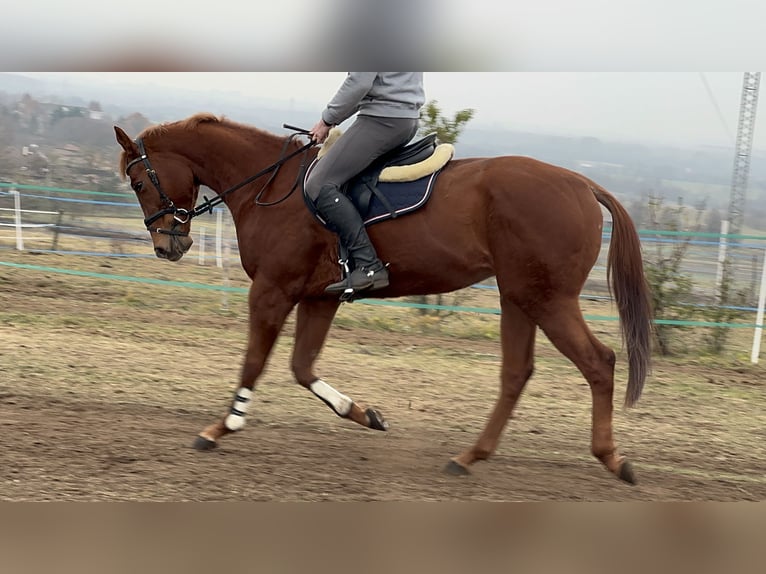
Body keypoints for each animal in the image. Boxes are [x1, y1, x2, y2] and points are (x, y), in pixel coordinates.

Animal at [115, 112, 656, 486]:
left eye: (139, 181)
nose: (167, 246)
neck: (273, 187)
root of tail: (581, 183)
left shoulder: (272, 290)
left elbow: (255, 362)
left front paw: (222, 426)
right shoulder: (319, 298)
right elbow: (302, 367)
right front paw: (364, 414)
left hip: (546, 299)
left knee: (599, 362)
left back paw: (612, 459)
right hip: (519, 298)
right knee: (517, 374)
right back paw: (470, 457)